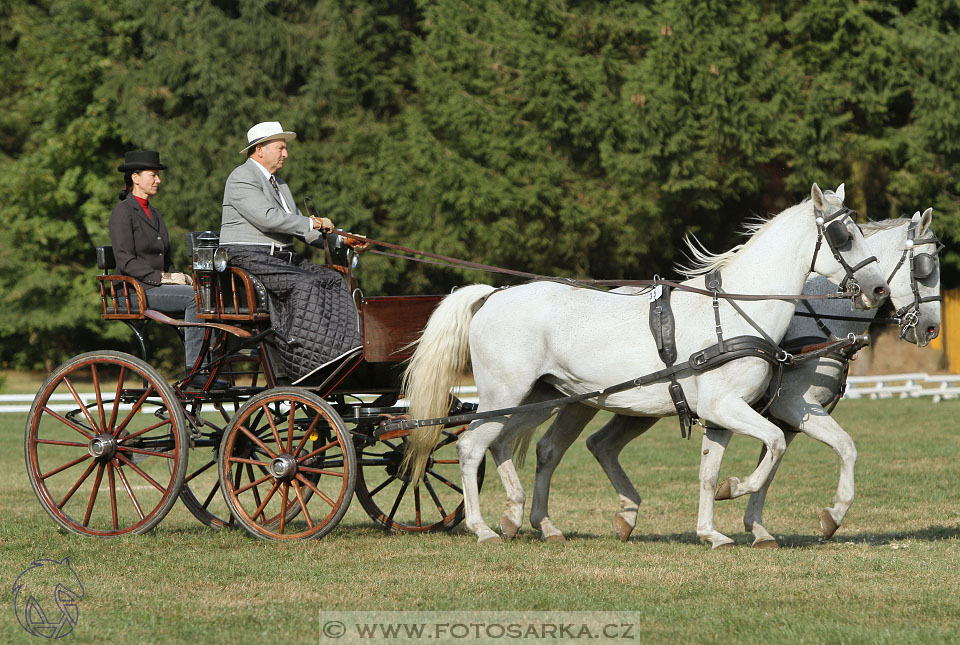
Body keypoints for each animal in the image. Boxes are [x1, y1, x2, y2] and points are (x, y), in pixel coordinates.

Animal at [402, 182, 888, 544]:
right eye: (844, 236)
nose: (878, 290)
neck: (732, 312)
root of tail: (494, 295)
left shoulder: (723, 415)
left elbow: (711, 472)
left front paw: (712, 531)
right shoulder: (727, 407)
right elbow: (774, 445)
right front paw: (736, 490)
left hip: (541, 397)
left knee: (507, 444)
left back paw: (528, 519)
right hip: (504, 394)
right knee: (470, 446)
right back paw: (483, 528)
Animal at [528, 209, 940, 544]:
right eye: (924, 267)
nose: (931, 328)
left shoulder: (781, 418)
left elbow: (771, 466)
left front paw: (756, 527)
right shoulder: (793, 406)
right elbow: (841, 448)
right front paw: (830, 516)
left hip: (626, 405)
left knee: (592, 445)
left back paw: (620, 517)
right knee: (557, 446)